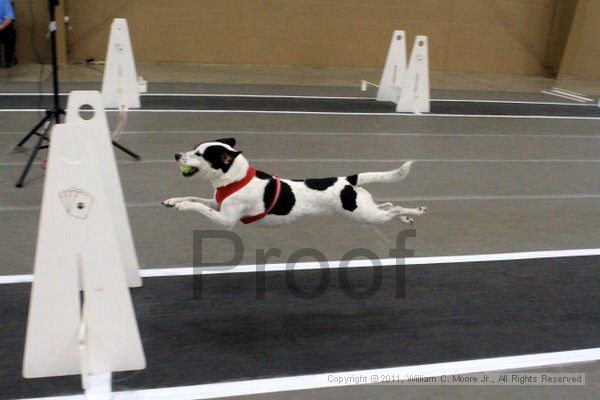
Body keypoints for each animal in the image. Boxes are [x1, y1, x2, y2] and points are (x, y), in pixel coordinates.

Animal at [163, 139, 426, 230]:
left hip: (363, 215)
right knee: (389, 206)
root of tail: (348, 179)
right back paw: (406, 218)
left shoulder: (225, 220)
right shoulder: (218, 204)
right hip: (364, 209)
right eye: (194, 149)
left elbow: (198, 206)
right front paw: (174, 200)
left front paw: (183, 207)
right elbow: (197, 198)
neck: (235, 179)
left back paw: (416, 211)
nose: (176, 155)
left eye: (199, 154)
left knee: (393, 208)